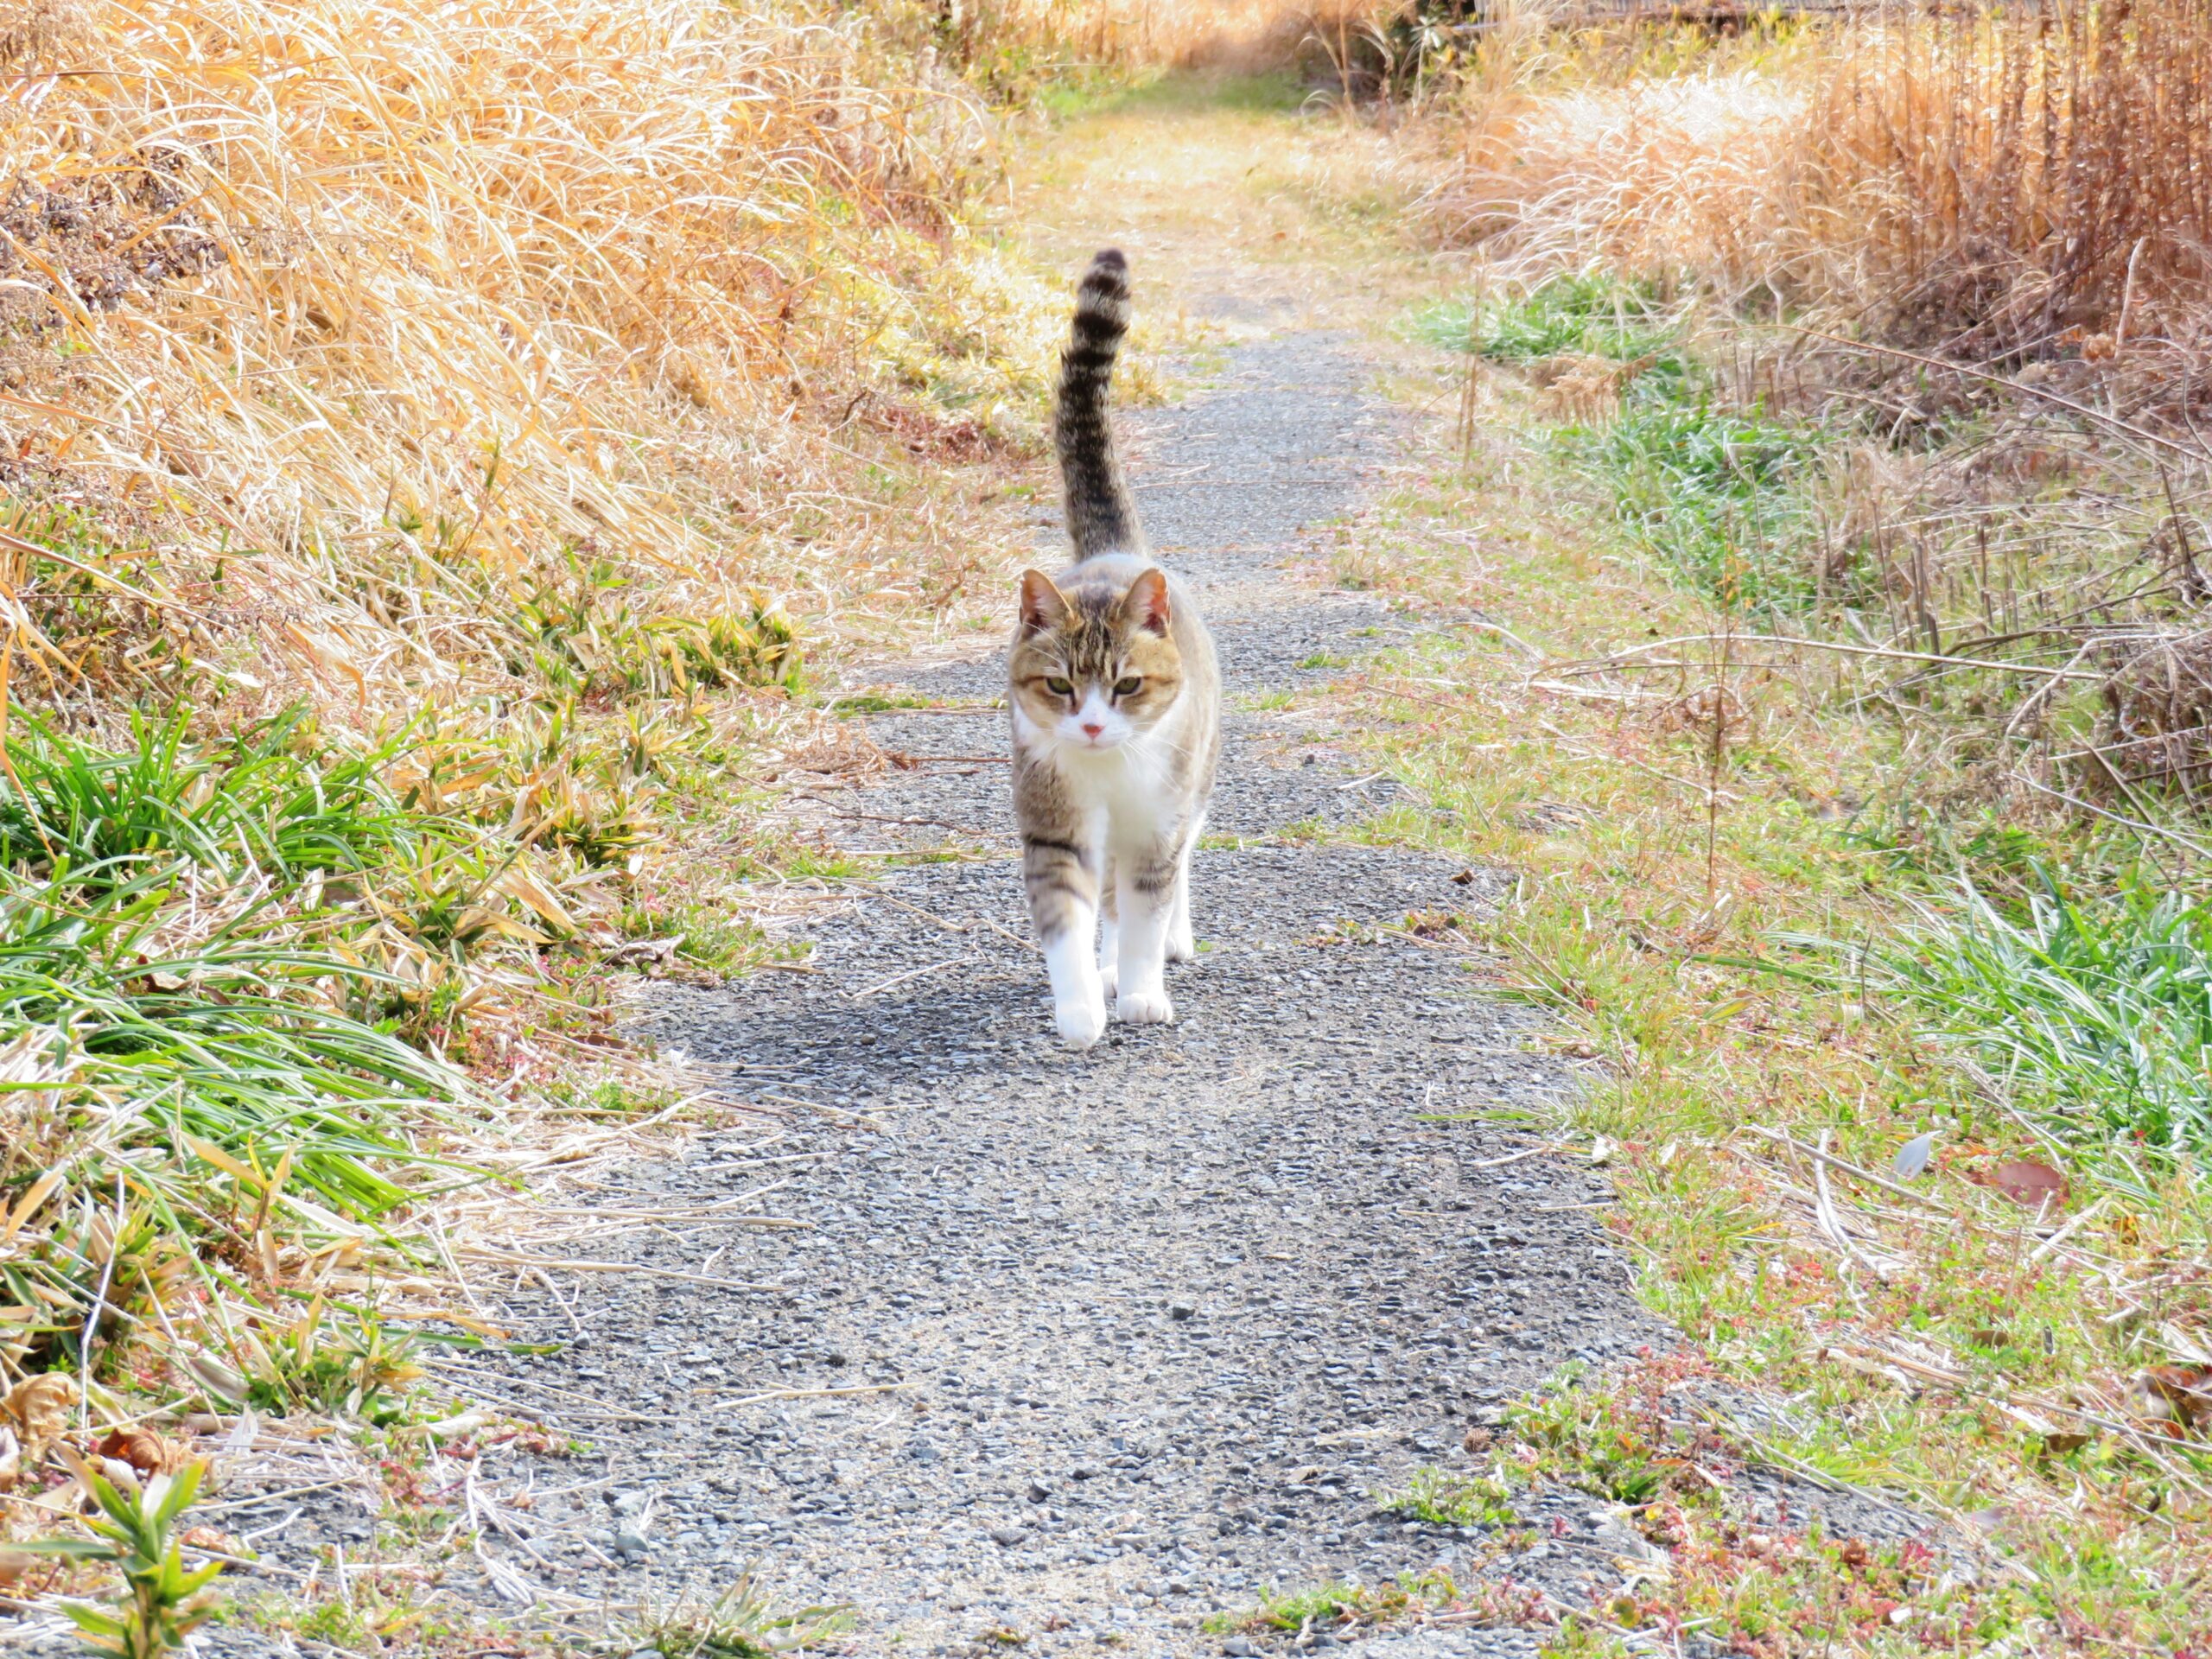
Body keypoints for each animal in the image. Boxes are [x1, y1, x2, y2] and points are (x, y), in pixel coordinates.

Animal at [1008, 246, 1221, 1052]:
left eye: (1126, 685)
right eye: (1060, 687)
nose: (1094, 724)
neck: (1108, 769)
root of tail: (1115, 550)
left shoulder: (1158, 824)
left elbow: (1148, 909)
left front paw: (1141, 991)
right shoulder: (1055, 824)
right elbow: (1069, 917)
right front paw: (1080, 1007)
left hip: (1194, 784)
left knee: (1175, 868)